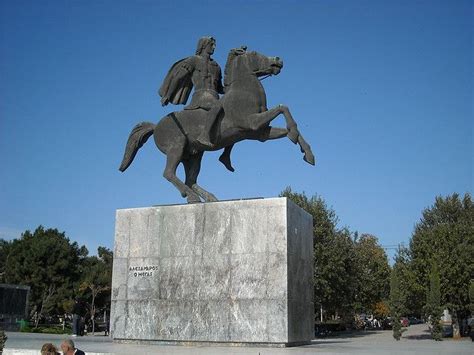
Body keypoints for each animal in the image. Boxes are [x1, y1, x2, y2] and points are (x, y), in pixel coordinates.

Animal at [119, 47, 314, 203]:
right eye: (255, 53)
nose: (278, 60)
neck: (244, 92)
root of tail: (156, 126)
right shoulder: (252, 122)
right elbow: (282, 108)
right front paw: (295, 137)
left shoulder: (260, 133)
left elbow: (284, 122)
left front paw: (308, 154)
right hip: (176, 147)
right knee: (169, 173)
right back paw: (192, 197)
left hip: (192, 156)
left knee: (191, 180)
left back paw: (209, 197)